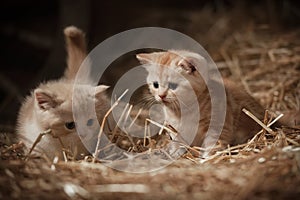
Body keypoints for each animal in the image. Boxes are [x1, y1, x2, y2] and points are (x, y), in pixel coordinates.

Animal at [136, 50, 268, 150]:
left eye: (173, 86)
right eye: (155, 85)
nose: (161, 96)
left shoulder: (218, 127)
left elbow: (213, 147)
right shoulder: (175, 131)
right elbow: (178, 144)